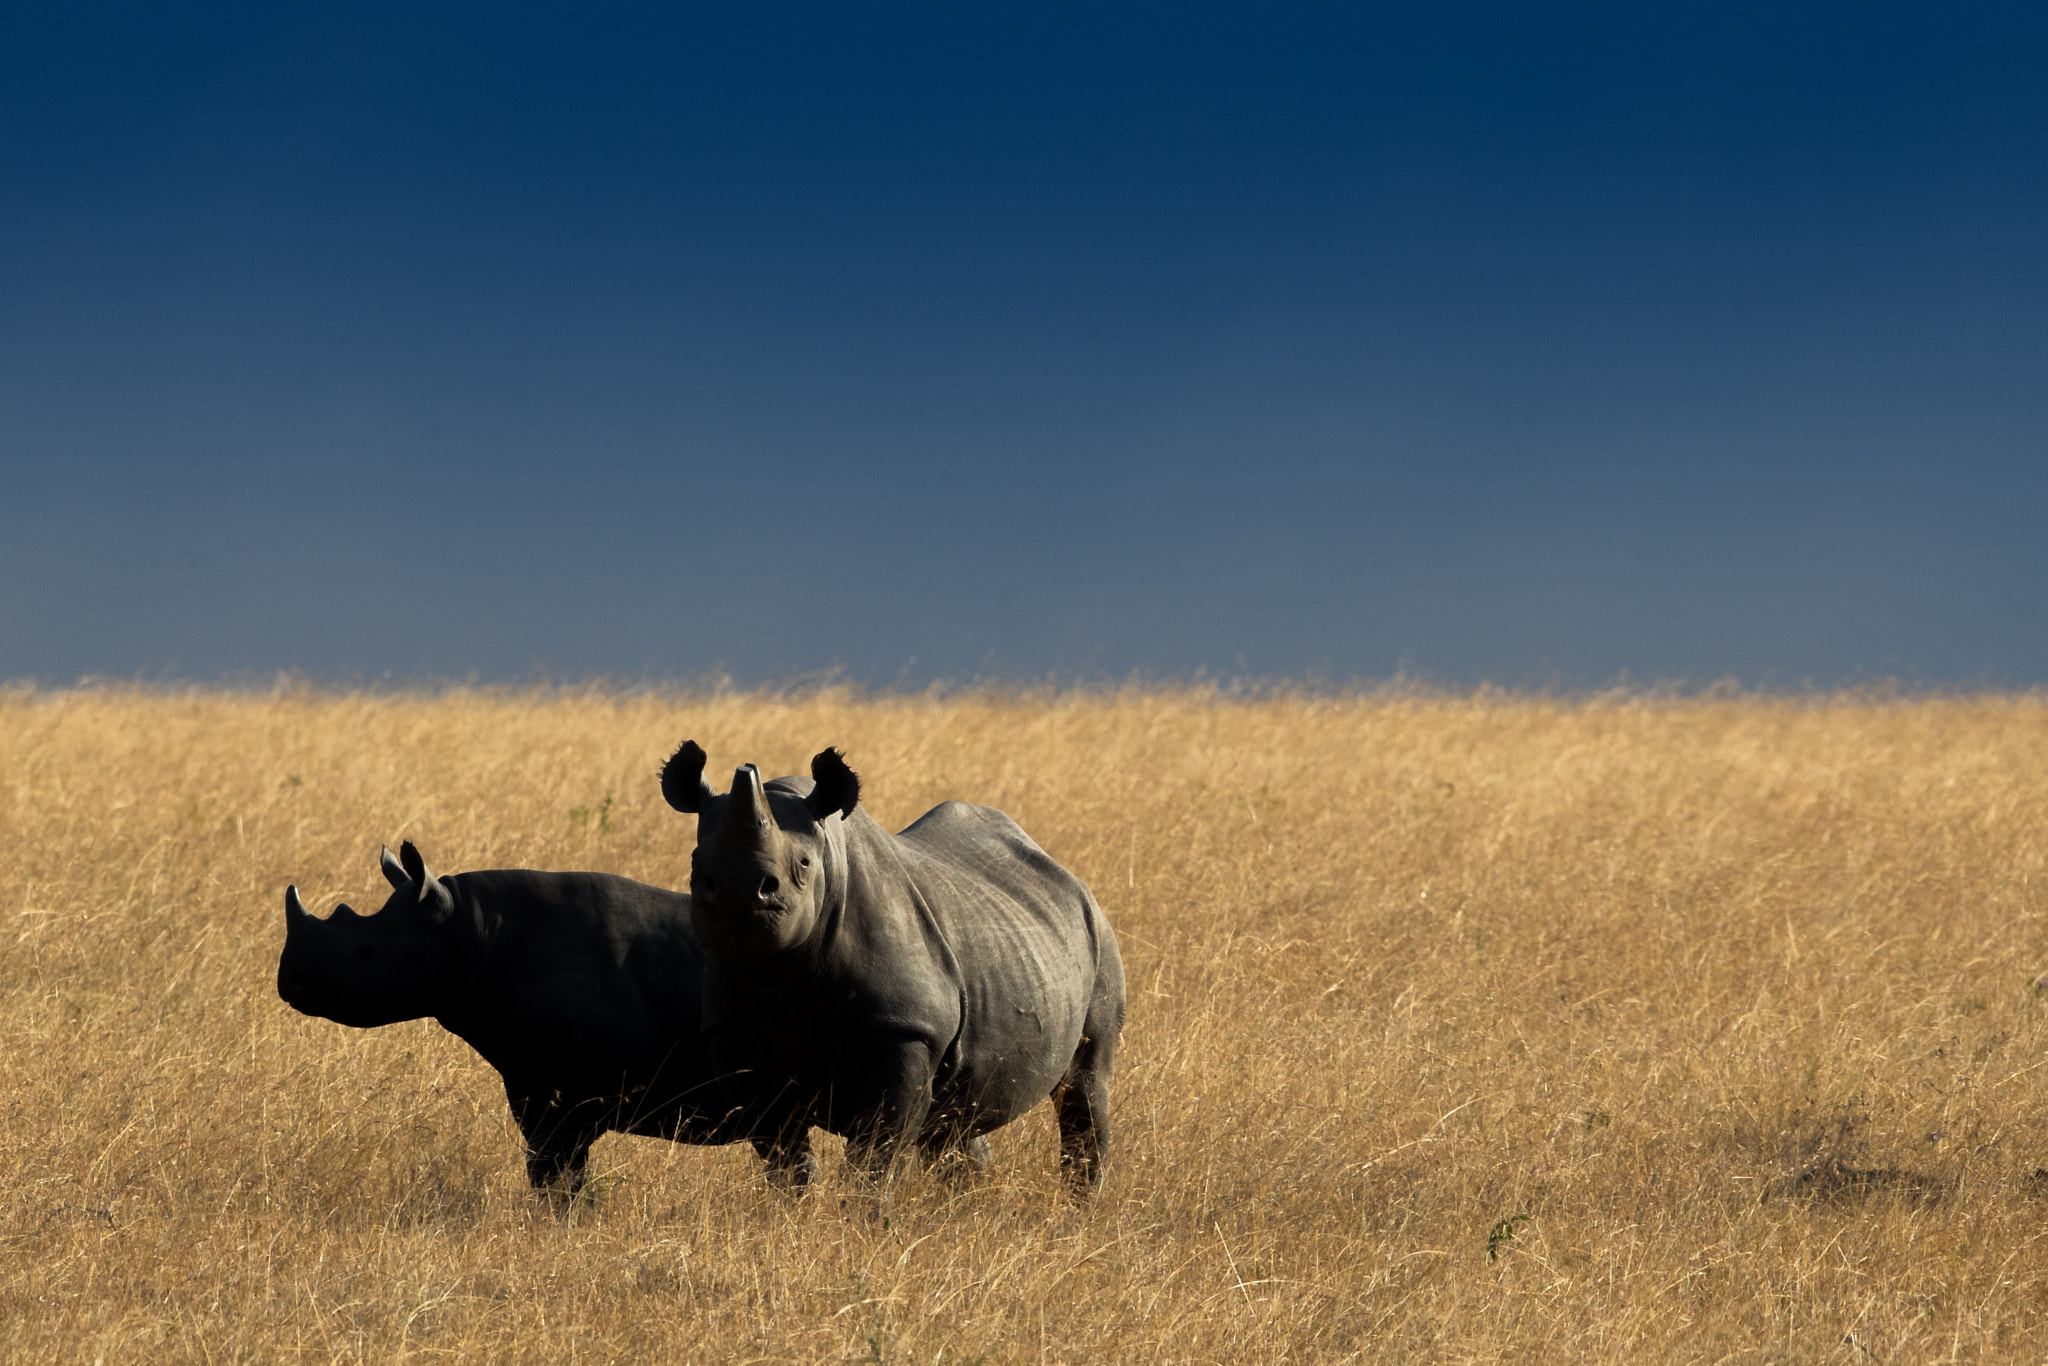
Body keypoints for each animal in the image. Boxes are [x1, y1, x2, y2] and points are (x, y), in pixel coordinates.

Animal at [276, 841, 813, 1198]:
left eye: (365, 953)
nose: (289, 980)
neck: (465, 929)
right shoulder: (531, 1077)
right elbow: (547, 1167)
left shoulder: (574, 1092)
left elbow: (559, 1172)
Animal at [659, 742, 1126, 1194]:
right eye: (695, 861)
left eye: (804, 865)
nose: (738, 891)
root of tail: (1068, 875)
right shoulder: (731, 1032)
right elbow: (784, 1157)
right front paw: (795, 1210)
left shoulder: (905, 1029)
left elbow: (876, 1157)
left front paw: (867, 1215)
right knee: (955, 1118)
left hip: (1099, 934)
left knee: (1085, 1081)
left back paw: (1083, 1204)